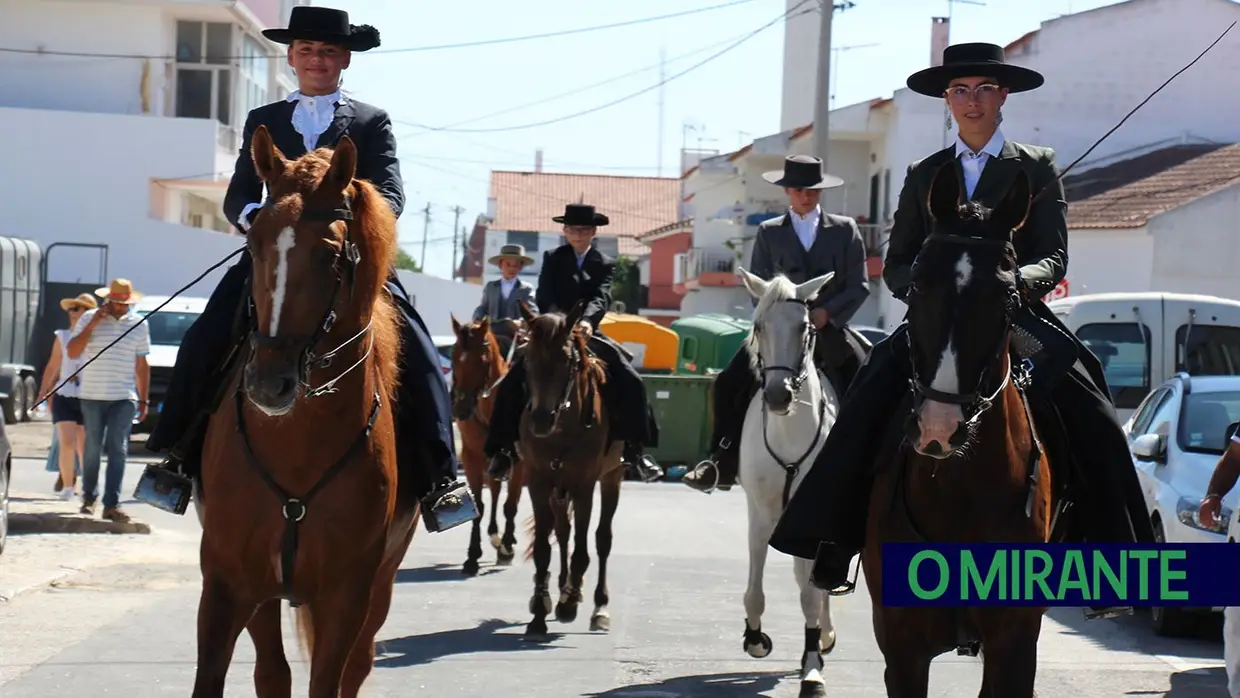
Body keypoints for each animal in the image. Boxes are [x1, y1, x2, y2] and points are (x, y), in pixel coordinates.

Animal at [190, 127, 419, 698]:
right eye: (254, 243)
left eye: (330, 255)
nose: (268, 383)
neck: (297, 446)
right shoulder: (227, 582)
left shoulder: (347, 595)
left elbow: (330, 679)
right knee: (272, 671)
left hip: (381, 583)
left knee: (358, 666)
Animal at [451, 313, 528, 575]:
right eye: (454, 356)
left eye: (483, 359)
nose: (461, 409)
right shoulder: (472, 458)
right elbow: (480, 505)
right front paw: (472, 557)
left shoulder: (519, 462)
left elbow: (511, 506)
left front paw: (507, 549)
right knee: (494, 490)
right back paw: (494, 536)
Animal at [515, 303, 624, 639]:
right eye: (527, 357)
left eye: (566, 359)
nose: (540, 419)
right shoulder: (538, 482)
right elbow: (544, 547)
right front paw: (540, 608)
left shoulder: (584, 484)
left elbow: (583, 549)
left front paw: (570, 602)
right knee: (562, 532)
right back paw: (561, 588)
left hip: (612, 477)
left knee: (602, 539)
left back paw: (597, 605)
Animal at [863, 164, 1056, 698]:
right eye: (917, 285)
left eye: (1008, 297)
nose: (938, 427)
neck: (958, 492)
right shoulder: (902, 650)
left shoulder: (1014, 646)